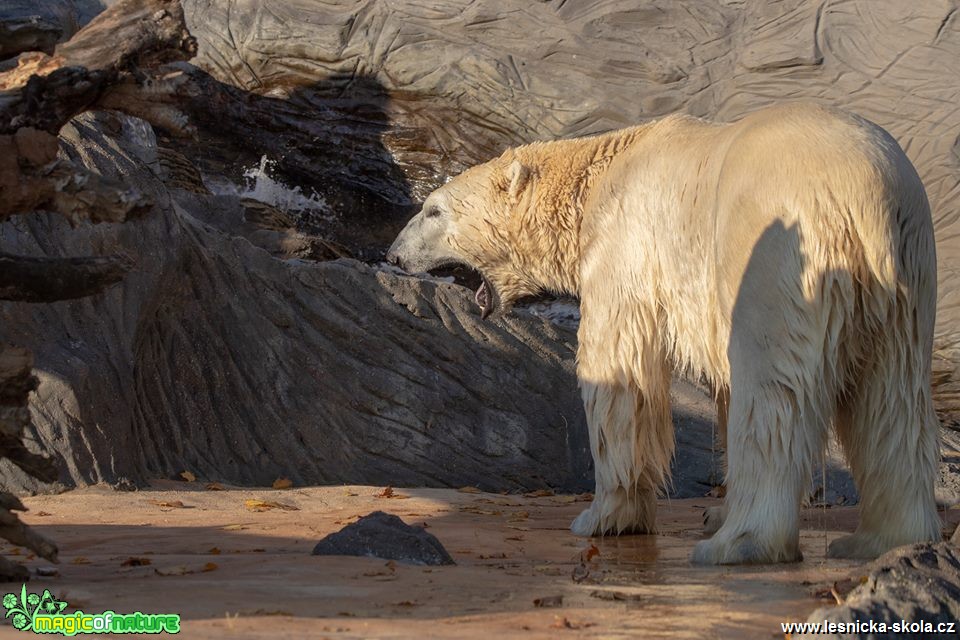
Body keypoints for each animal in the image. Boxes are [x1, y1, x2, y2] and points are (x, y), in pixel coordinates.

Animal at [386, 102, 940, 564]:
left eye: (433, 209)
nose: (393, 254)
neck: (597, 172)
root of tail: (863, 198)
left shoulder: (625, 241)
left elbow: (620, 371)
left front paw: (603, 516)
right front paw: (712, 510)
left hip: (777, 253)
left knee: (774, 396)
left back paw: (739, 544)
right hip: (907, 272)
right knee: (892, 401)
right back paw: (880, 538)